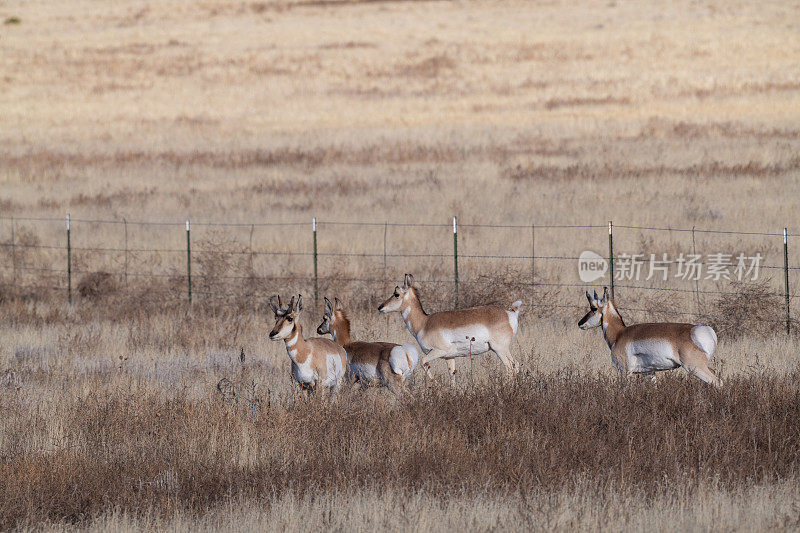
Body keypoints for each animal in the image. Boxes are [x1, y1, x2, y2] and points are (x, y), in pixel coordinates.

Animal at [380, 274, 524, 382]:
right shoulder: (449, 357)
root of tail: (510, 312)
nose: (380, 307)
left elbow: (423, 362)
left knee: (510, 367)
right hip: (500, 349)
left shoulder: (438, 351)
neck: (424, 323)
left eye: (396, 294)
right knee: (516, 365)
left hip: (499, 349)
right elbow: (452, 375)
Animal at [580, 286, 720, 386]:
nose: (579, 323)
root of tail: (704, 330)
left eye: (593, 308)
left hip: (695, 367)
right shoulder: (649, 373)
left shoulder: (625, 372)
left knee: (717, 382)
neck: (619, 333)